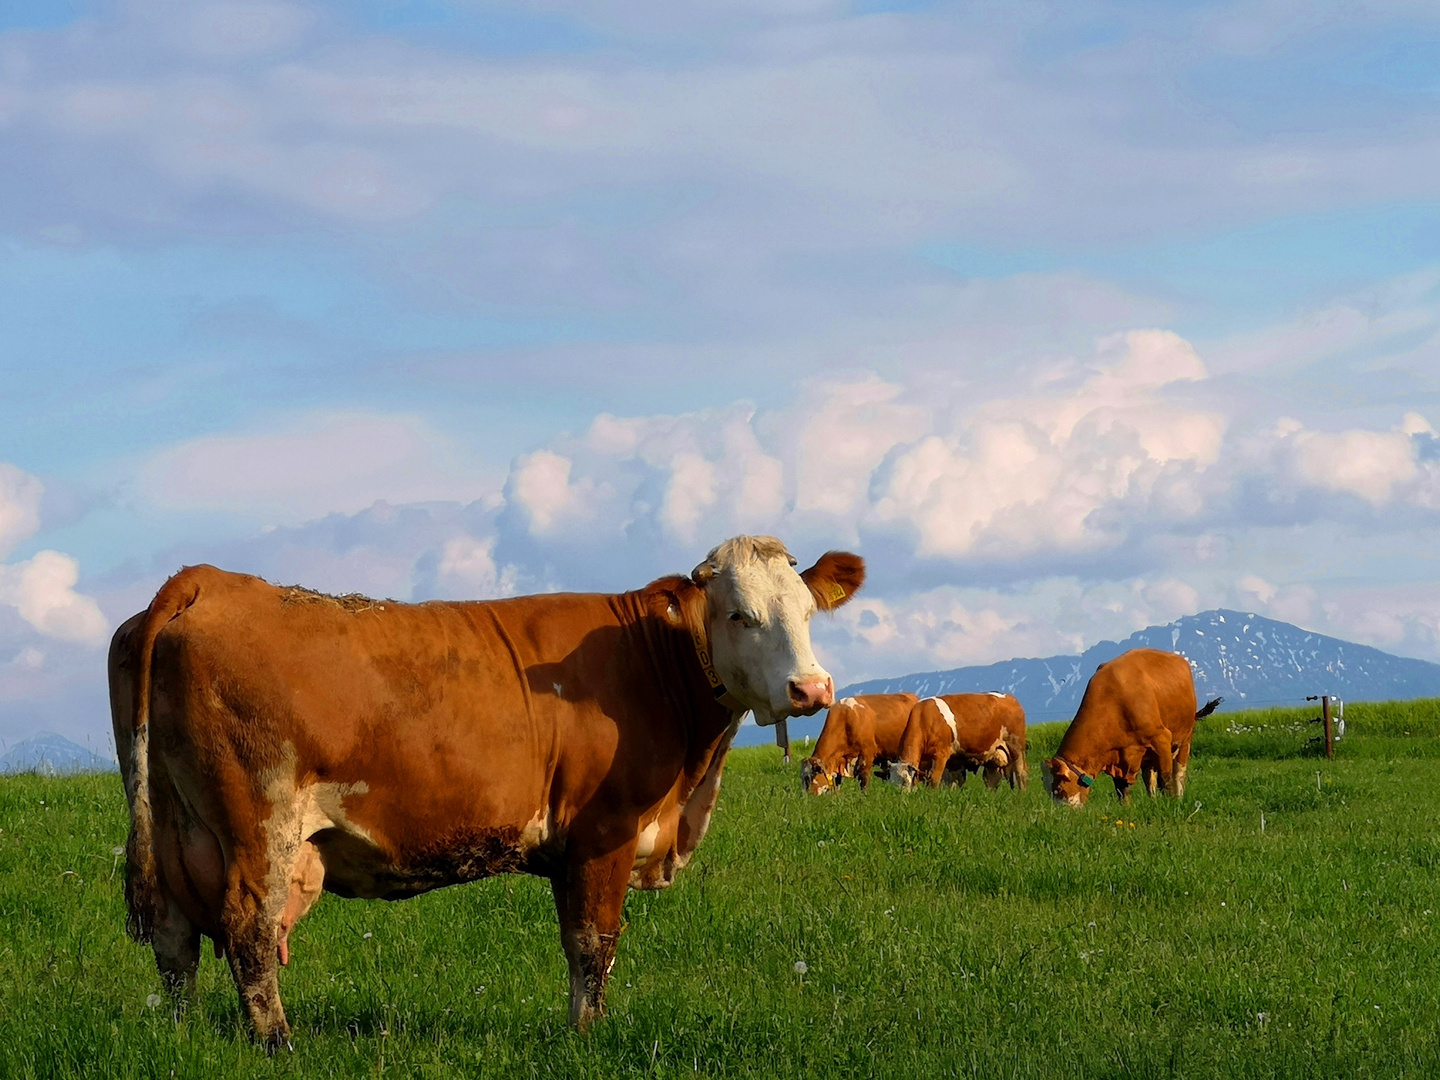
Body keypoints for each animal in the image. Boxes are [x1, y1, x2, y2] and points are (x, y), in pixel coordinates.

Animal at [109, 538, 864, 1054]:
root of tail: (207, 580)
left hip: (174, 824)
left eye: (806, 611)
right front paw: (587, 1037)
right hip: (258, 826)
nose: (812, 689)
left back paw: (181, 1038)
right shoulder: (605, 830)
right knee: (248, 930)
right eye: (739, 615)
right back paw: (278, 1044)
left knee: (175, 941)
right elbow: (593, 943)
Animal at [881, 696, 1031, 789]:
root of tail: (1010, 698)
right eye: (890, 782)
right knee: (991, 779)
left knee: (1021, 773)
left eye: (905, 782)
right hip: (994, 756)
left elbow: (934, 779)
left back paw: (1021, 795)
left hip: (1016, 746)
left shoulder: (941, 755)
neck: (925, 719)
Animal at [1042, 648, 1221, 806]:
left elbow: (1165, 778)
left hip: (1185, 737)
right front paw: (1126, 808)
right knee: (1149, 777)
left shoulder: (1161, 738)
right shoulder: (1118, 755)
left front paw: (1171, 803)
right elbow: (1122, 788)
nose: (1062, 813)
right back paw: (1153, 801)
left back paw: (1178, 797)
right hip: (1148, 754)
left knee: (1179, 772)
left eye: (1058, 788)